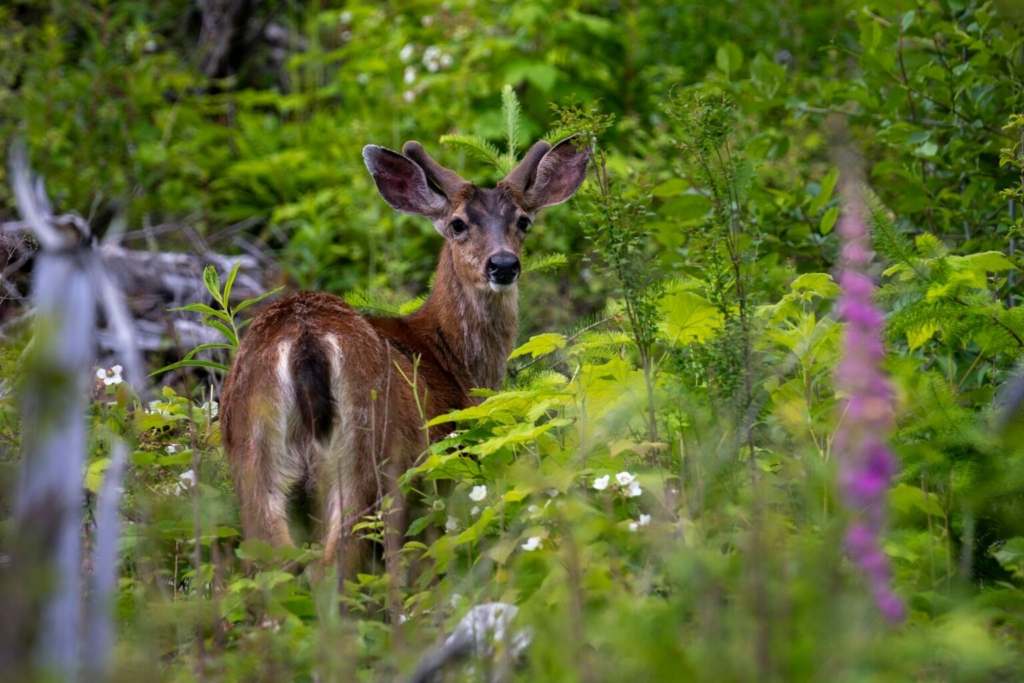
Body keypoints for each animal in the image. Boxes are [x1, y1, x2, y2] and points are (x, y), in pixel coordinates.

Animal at [222, 135, 593, 577]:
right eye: (457, 224)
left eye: (523, 220)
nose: (503, 264)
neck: (450, 358)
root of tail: (304, 338)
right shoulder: (443, 464)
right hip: (368, 454)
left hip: (253, 453)